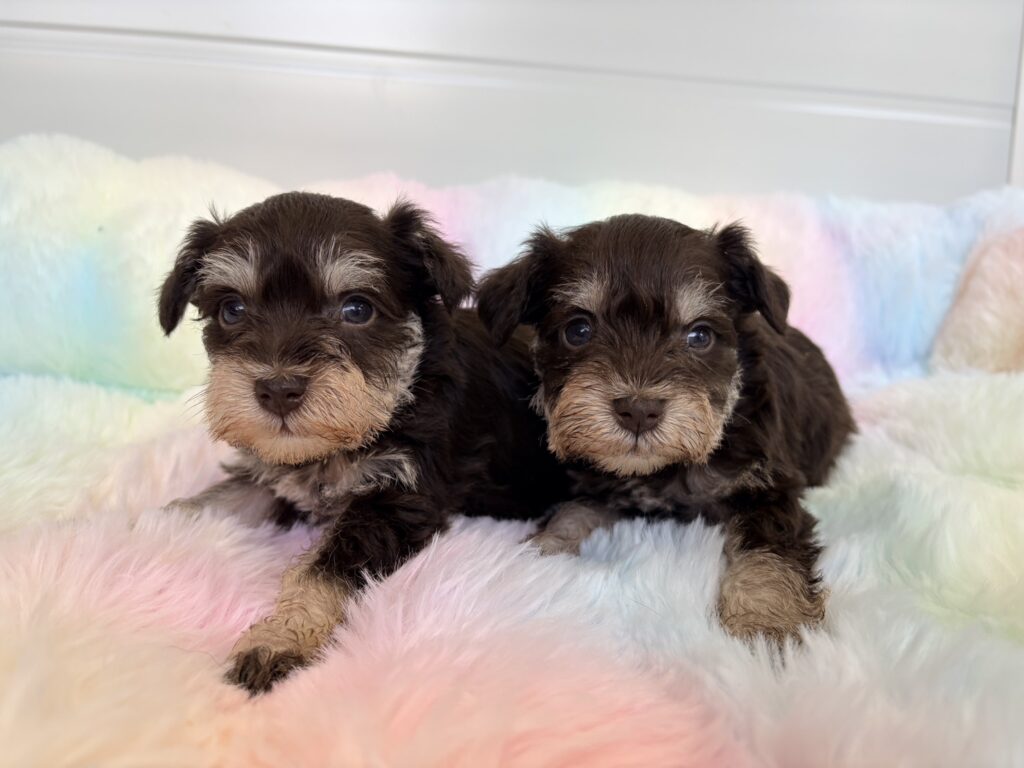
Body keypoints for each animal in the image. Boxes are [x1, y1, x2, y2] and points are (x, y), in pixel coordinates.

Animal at [158, 192, 566, 692]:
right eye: (232, 309)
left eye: (357, 309)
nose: (278, 389)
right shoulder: (269, 475)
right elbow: (214, 500)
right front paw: (139, 523)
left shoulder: (397, 498)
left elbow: (324, 569)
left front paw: (280, 637)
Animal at [476, 214, 854, 643]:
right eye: (578, 330)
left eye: (700, 335)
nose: (639, 410)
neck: (663, 470)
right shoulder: (597, 484)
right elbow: (570, 513)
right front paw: (539, 551)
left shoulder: (769, 489)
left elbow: (768, 554)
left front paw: (767, 625)